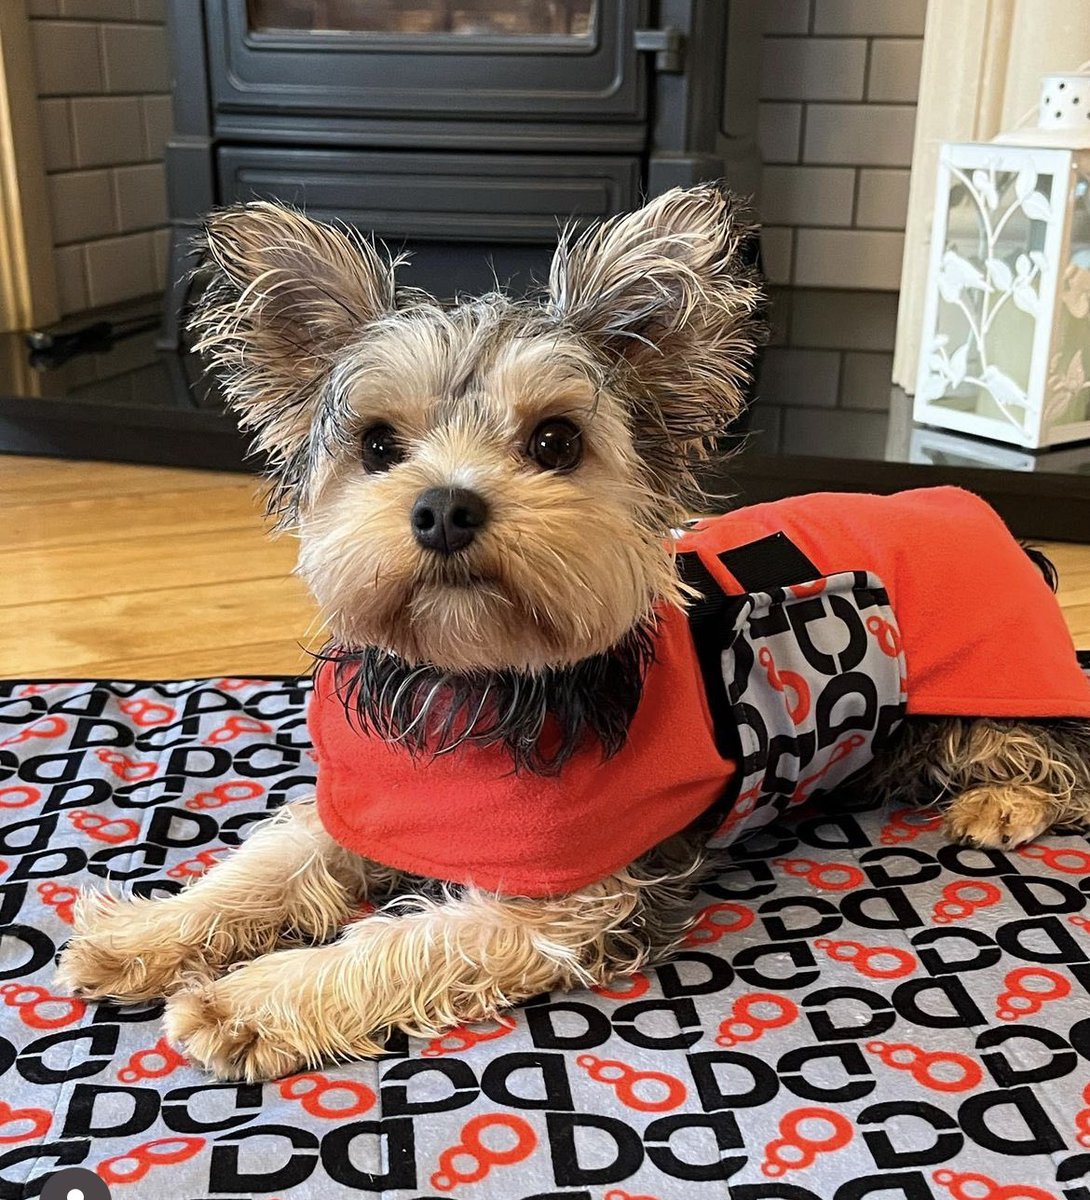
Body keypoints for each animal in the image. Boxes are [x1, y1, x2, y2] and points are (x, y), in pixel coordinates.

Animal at [57, 184, 1090, 1080]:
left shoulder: (559, 906)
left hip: (986, 689)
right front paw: (141, 936)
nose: (443, 507)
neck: (470, 681)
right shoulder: (365, 808)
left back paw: (1003, 804)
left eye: (554, 442)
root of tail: (984, 515)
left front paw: (252, 1002)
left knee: (1056, 750)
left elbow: (399, 942)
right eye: (379, 446)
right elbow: (265, 865)